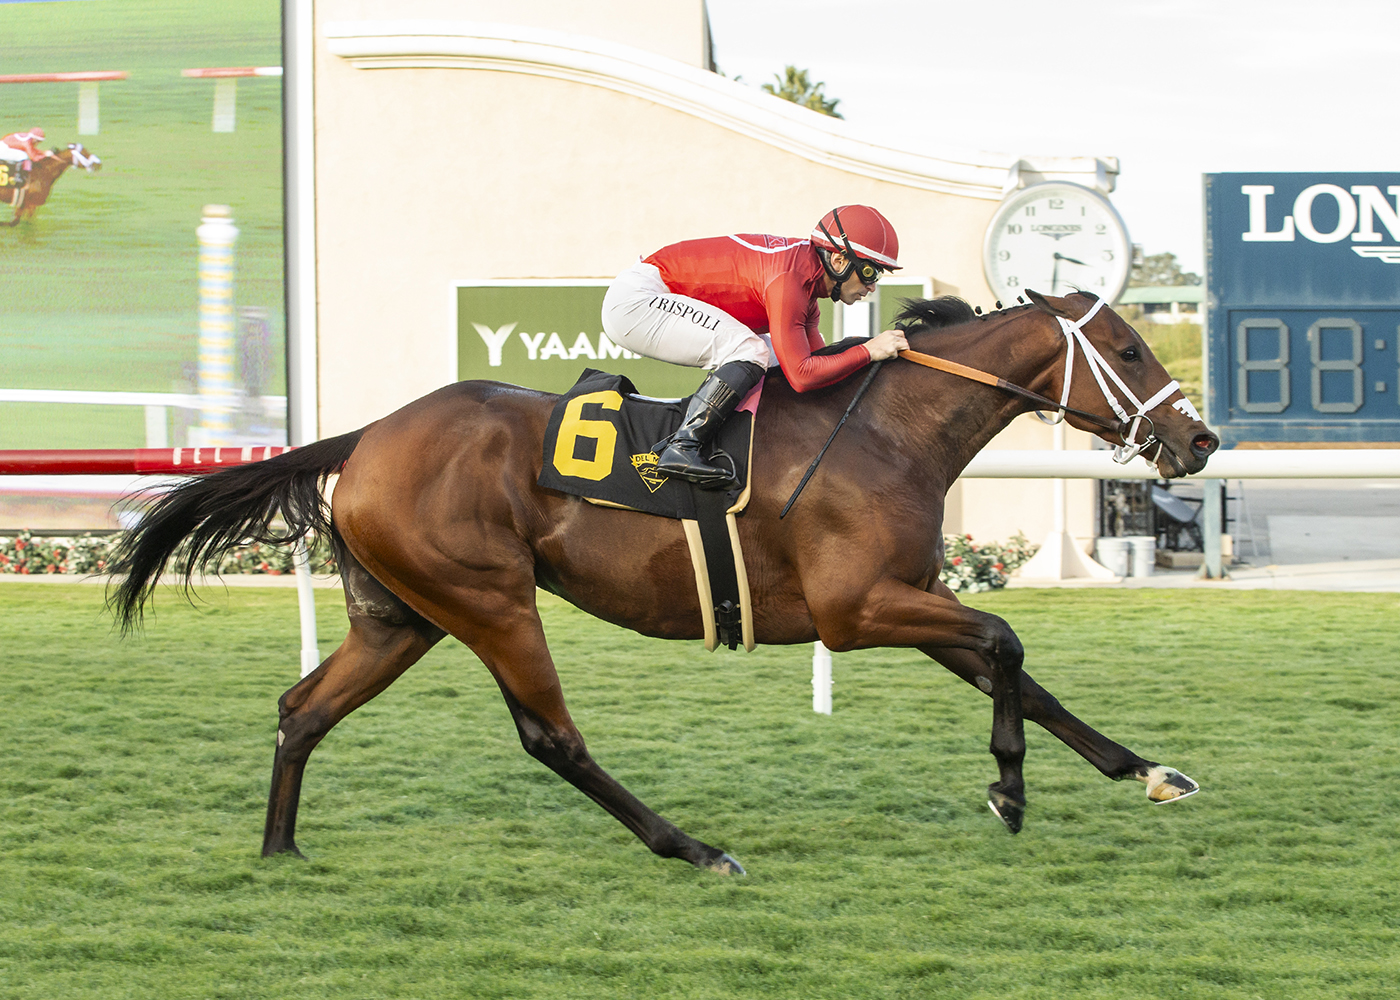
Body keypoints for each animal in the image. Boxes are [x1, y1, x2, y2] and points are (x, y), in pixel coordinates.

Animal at [114, 288, 1220, 873]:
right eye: (1127, 347)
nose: (1200, 439)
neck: (883, 428)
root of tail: (368, 434)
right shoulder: (855, 610)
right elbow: (1006, 645)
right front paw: (1007, 792)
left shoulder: (905, 598)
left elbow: (1021, 674)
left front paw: (1150, 772)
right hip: (488, 598)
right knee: (549, 736)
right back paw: (690, 847)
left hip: (400, 616)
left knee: (303, 708)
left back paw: (280, 851)